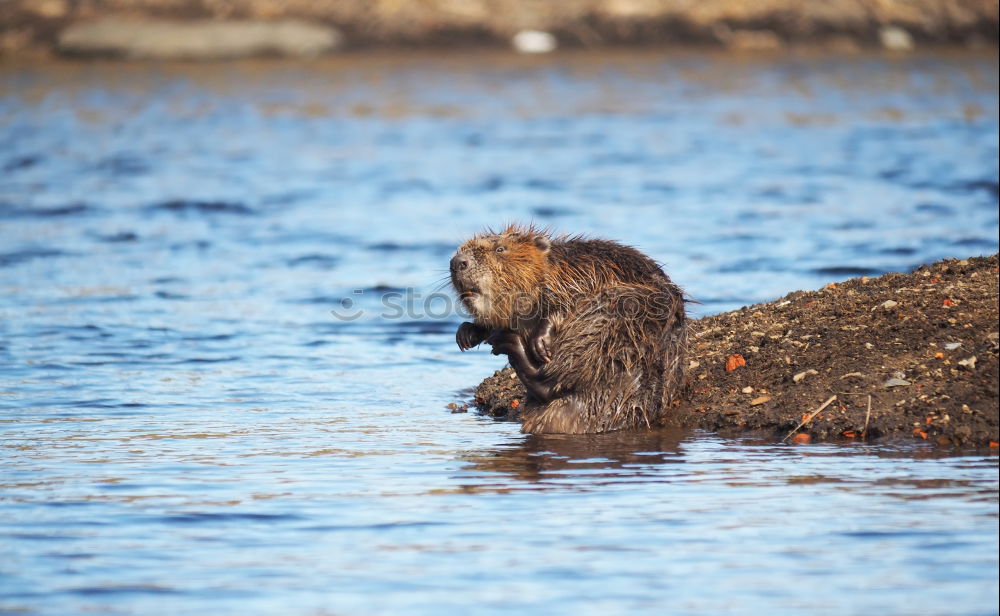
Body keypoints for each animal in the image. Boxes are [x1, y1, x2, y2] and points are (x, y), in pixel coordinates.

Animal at [454, 225, 688, 434]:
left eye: (500, 249)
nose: (457, 262)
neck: (558, 266)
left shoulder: (586, 273)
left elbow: (569, 302)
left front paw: (541, 340)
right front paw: (467, 333)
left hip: (618, 313)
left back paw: (509, 343)